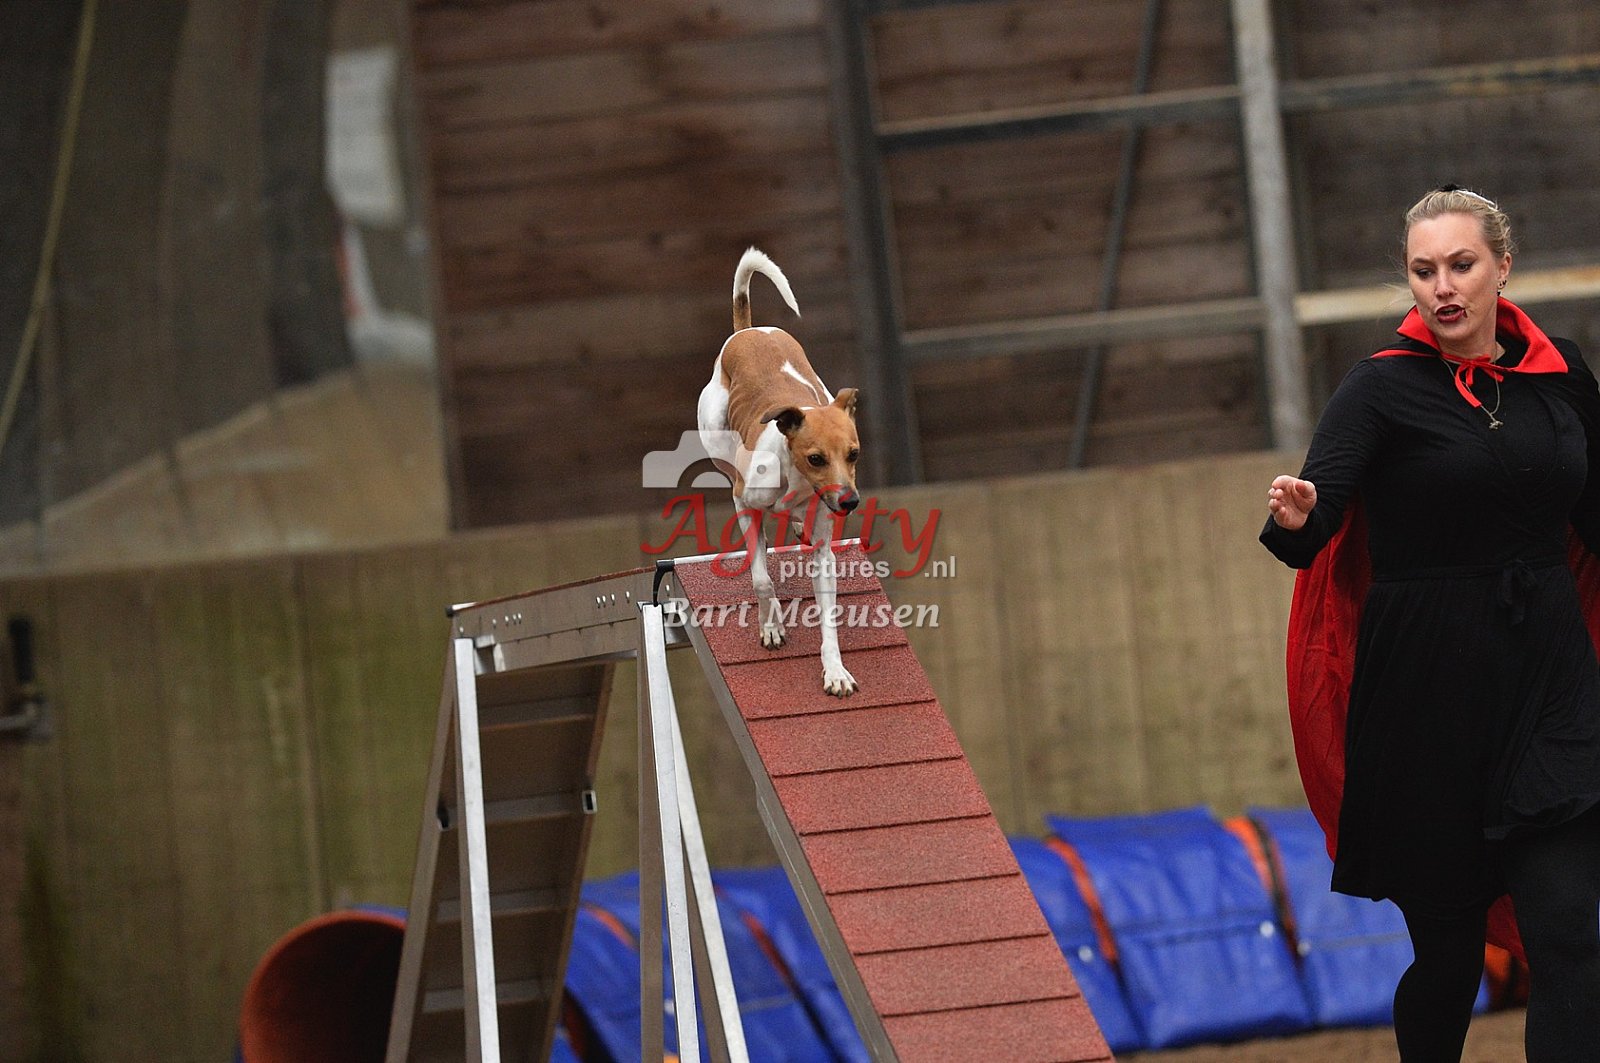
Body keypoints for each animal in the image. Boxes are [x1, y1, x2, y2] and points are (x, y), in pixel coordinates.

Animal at [698, 247, 861, 696]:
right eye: (816, 458)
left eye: (854, 455)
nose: (851, 501)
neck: (797, 482)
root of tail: (749, 330)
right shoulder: (744, 501)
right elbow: (761, 579)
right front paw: (771, 626)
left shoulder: (823, 549)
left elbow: (828, 618)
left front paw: (835, 671)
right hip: (714, 434)